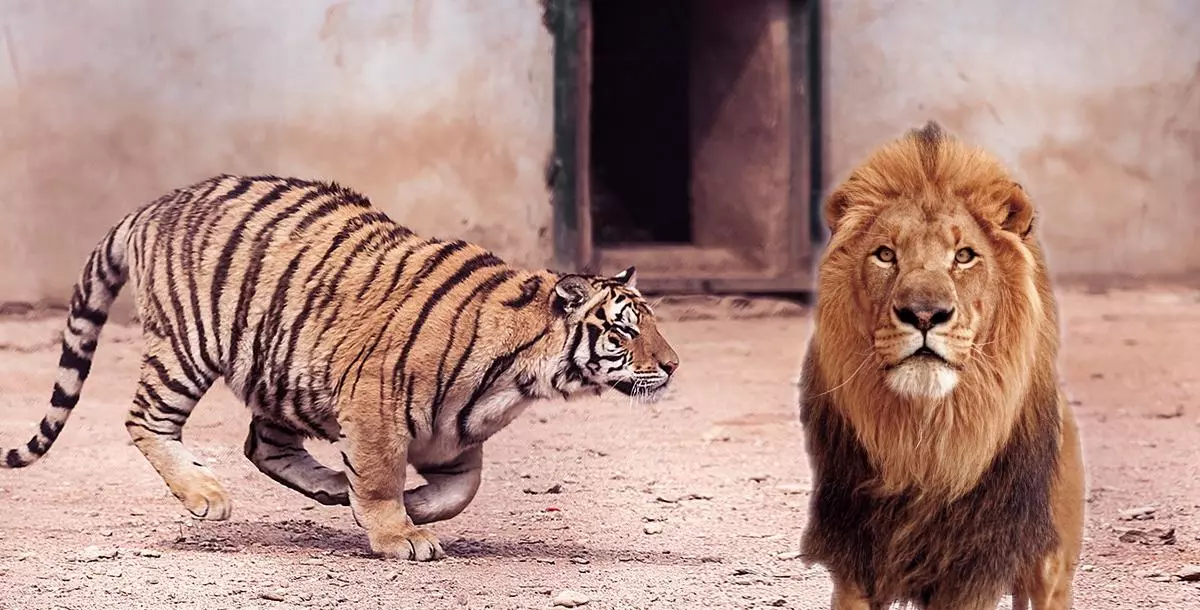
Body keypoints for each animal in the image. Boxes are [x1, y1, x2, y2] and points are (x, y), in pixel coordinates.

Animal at [0, 174, 680, 561]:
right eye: (624, 329)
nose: (673, 366)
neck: (523, 378)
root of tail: (151, 206)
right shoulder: (376, 400)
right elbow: (380, 476)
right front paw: (399, 533)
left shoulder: (455, 435)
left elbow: (460, 491)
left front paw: (413, 509)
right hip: (188, 348)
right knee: (146, 420)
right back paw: (205, 494)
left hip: (284, 369)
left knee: (261, 443)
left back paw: (328, 485)